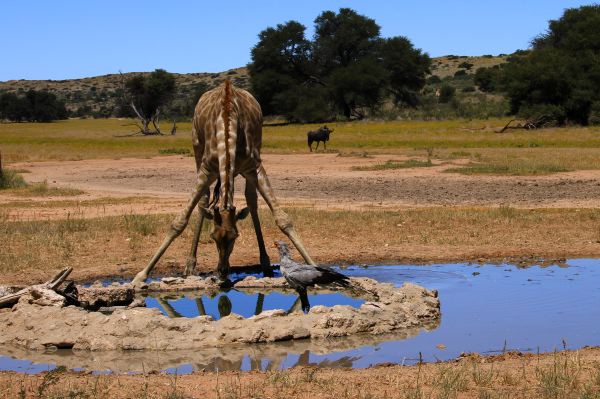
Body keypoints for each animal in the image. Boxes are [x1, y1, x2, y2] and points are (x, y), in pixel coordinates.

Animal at [133, 81, 316, 286]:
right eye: (213, 237)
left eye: (235, 236)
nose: (221, 272)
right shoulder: (206, 170)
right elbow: (179, 222)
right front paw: (141, 274)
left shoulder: (255, 167)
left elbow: (283, 219)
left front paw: (314, 265)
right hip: (197, 149)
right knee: (204, 200)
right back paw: (190, 265)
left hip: (253, 154)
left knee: (251, 200)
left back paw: (265, 263)